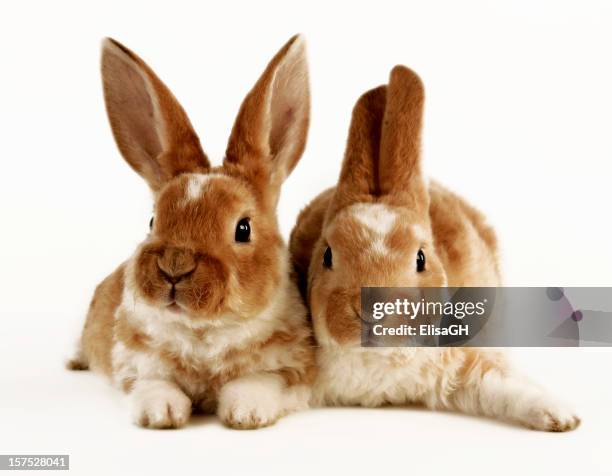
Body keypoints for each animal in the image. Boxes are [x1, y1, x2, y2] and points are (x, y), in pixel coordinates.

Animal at [67, 36, 316, 432]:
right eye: (153, 220)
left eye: (243, 228)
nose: (175, 265)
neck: (204, 330)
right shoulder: (136, 364)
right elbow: (154, 385)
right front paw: (161, 414)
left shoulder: (291, 367)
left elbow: (257, 382)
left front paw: (245, 413)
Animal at [290, 64, 580, 432]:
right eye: (327, 255)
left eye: (420, 258)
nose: (371, 311)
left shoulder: (462, 365)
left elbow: (504, 384)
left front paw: (562, 416)